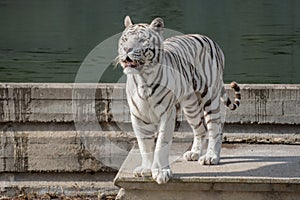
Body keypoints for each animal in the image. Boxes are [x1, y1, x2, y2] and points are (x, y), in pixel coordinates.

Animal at [118, 16, 241, 184]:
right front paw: (146, 169)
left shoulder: (167, 114)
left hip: (210, 98)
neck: (143, 79)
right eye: (125, 39)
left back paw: (211, 157)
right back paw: (194, 153)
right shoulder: (138, 116)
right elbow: (144, 145)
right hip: (191, 106)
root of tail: (209, 39)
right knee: (201, 129)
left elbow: (161, 143)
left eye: (142, 40)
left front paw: (161, 172)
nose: (126, 49)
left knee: (215, 128)